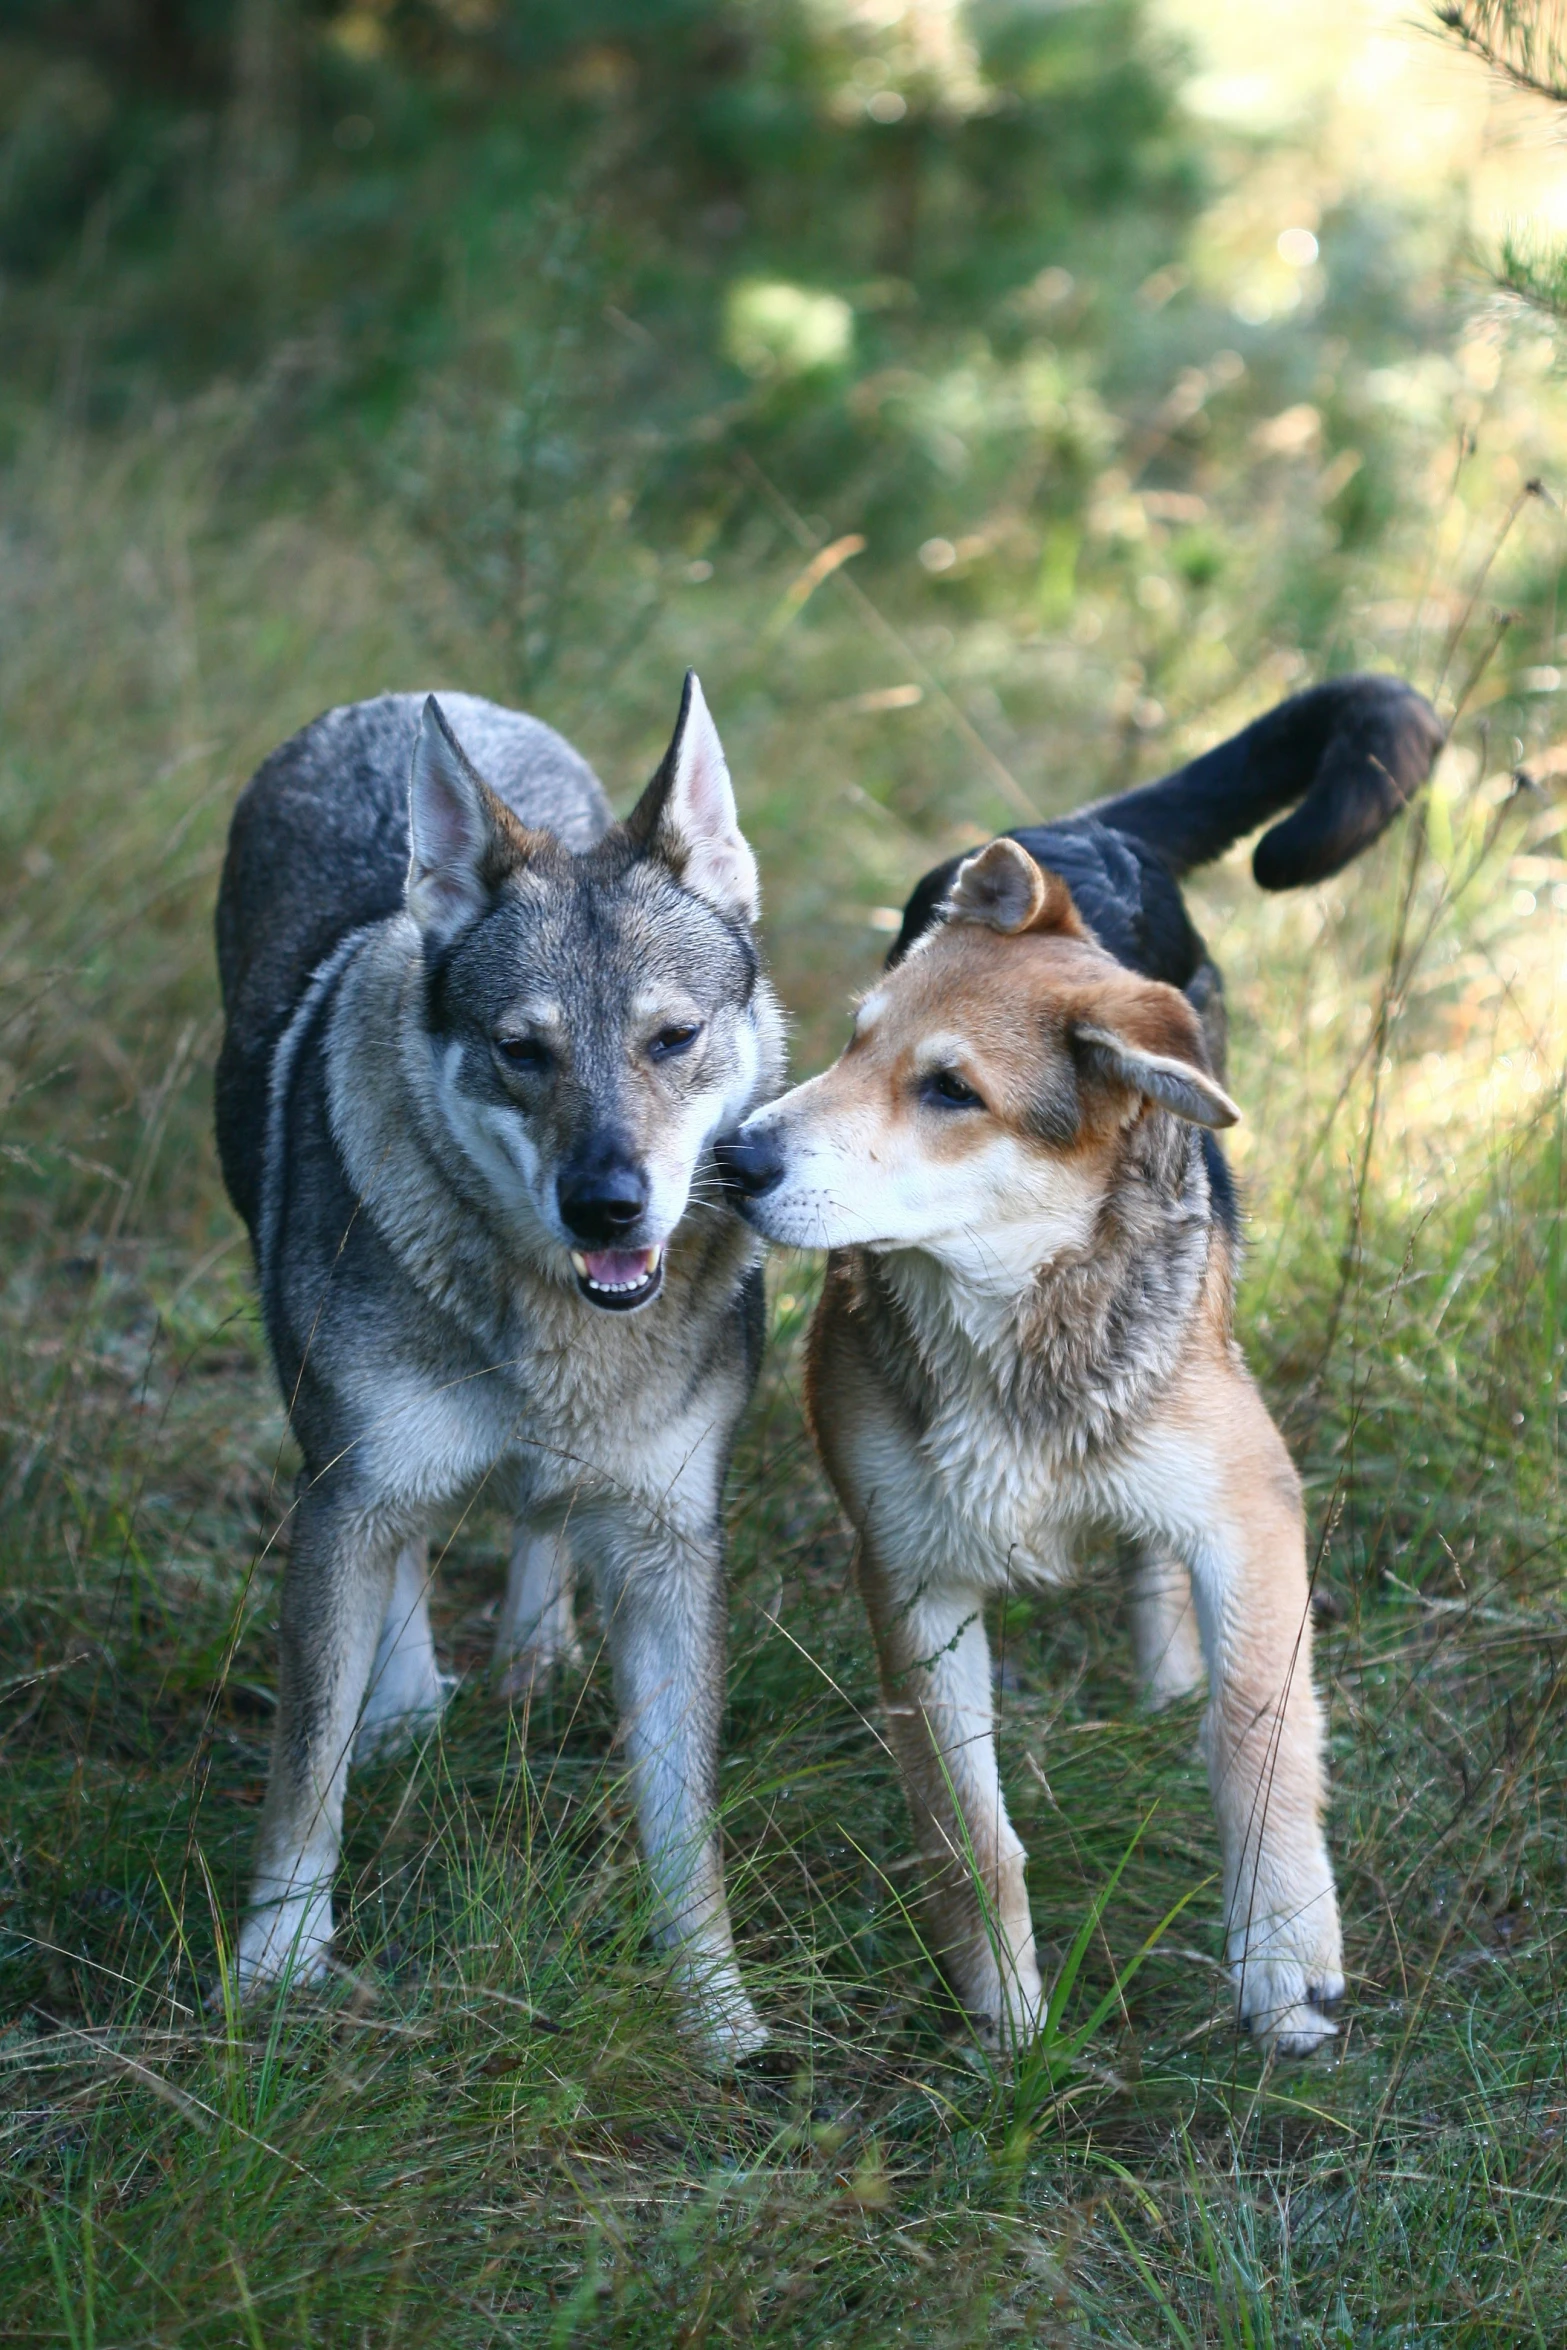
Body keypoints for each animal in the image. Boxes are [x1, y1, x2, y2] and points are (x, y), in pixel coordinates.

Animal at [212, 676, 784, 2058]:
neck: (558, 1324)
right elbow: (304, 1771)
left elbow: (684, 1824)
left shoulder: (673, 1538)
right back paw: (413, 1703)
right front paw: (279, 1967)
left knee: (539, 1514)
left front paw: (719, 2014)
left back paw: (533, 1654)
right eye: (524, 1051)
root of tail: (407, 699)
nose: (607, 1205)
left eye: (673, 1039)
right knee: (419, 1552)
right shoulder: (348, 1493)